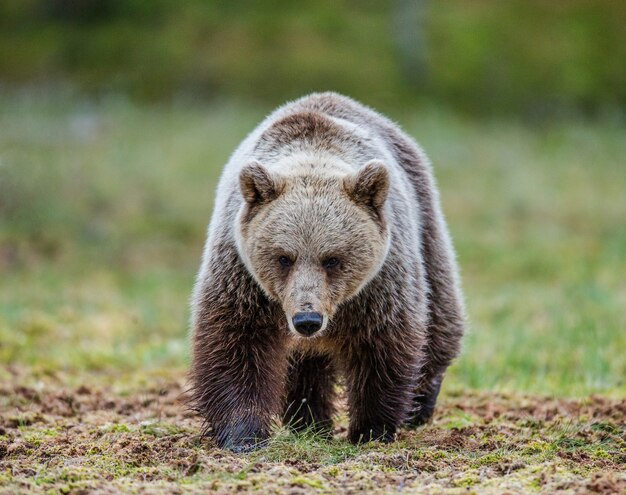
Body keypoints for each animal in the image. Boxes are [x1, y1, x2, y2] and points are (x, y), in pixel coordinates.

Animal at [190, 93, 464, 454]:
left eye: (332, 258)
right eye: (284, 257)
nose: (307, 320)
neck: (313, 155)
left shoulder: (379, 284)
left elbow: (382, 344)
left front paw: (371, 428)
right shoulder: (241, 275)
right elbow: (235, 341)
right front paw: (243, 434)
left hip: (426, 226)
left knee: (441, 311)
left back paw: (420, 404)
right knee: (305, 367)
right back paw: (308, 423)